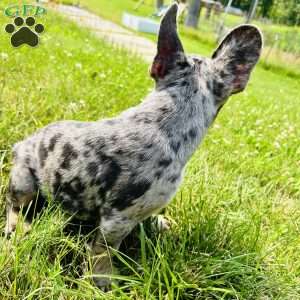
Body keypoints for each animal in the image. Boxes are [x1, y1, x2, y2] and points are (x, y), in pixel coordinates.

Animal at [4, 2, 262, 288]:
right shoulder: (117, 220)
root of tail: (20, 146)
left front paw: (157, 223)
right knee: (15, 209)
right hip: (25, 184)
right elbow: (104, 252)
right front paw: (103, 283)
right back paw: (19, 229)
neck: (165, 118)